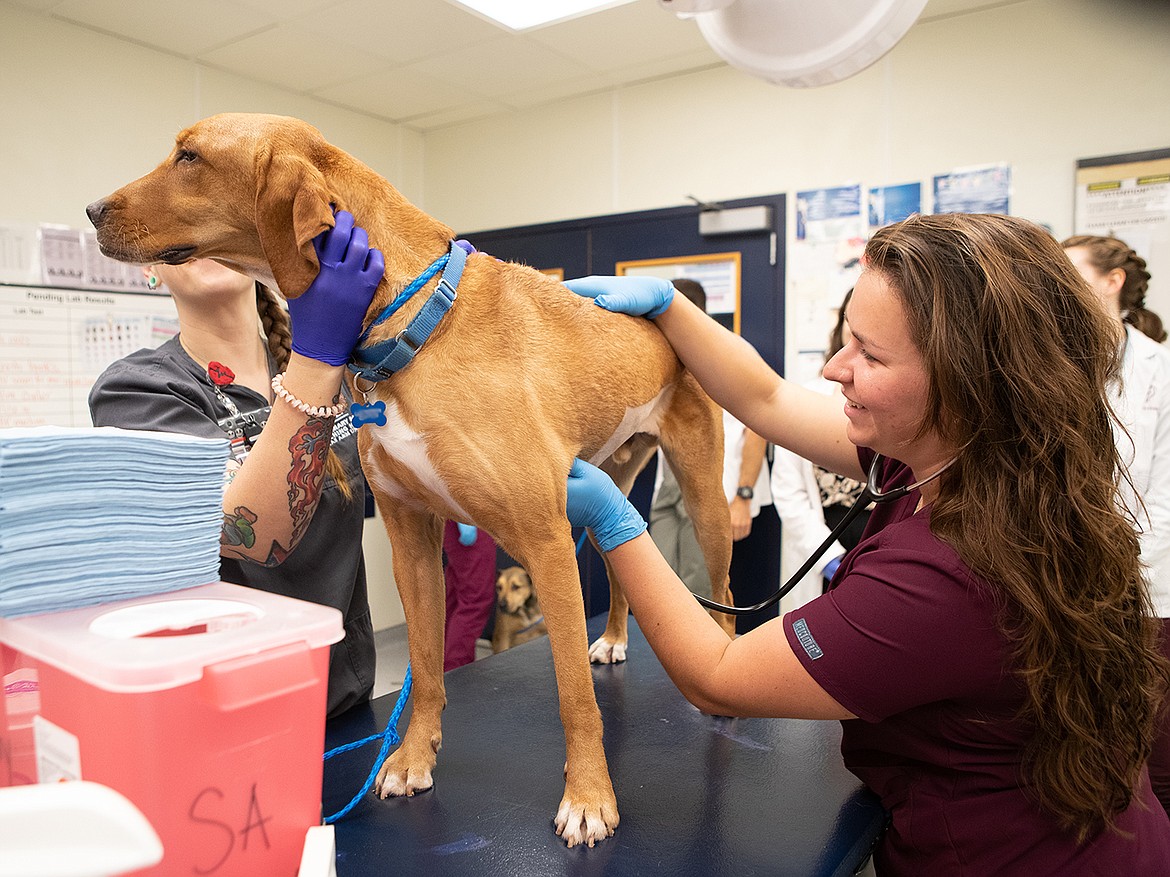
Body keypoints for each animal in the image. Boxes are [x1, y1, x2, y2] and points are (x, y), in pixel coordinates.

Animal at [86, 113, 730, 846]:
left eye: (189, 156)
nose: (92, 211)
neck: (411, 321)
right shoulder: (411, 540)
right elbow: (425, 666)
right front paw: (413, 756)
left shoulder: (544, 541)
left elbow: (572, 692)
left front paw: (590, 796)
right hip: (608, 497)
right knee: (624, 567)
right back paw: (618, 637)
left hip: (702, 497)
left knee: (725, 587)